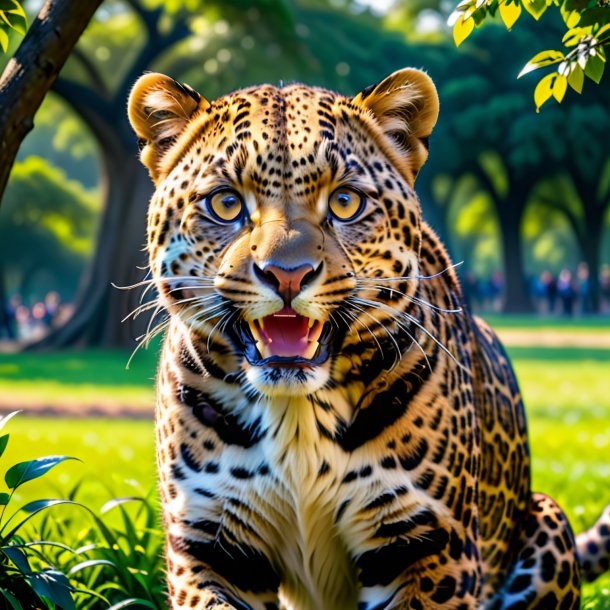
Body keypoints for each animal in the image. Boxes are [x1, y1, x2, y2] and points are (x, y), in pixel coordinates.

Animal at [126, 67, 604, 608]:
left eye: (345, 201)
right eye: (226, 203)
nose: (287, 275)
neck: (296, 419)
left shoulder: (429, 545)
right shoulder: (211, 546)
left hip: (547, 519)